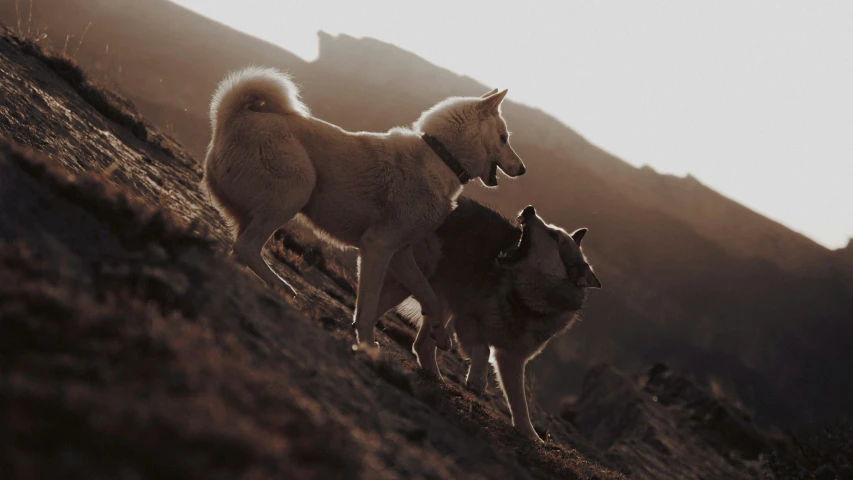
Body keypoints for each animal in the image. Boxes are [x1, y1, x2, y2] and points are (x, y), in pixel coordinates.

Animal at [205, 68, 524, 348]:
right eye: (504, 138)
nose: (522, 169)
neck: (442, 156)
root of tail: (232, 116)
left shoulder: (401, 254)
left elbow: (429, 296)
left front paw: (441, 336)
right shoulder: (377, 247)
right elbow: (368, 308)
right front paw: (368, 345)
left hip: (261, 209)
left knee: (240, 249)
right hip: (297, 191)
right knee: (247, 246)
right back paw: (282, 285)